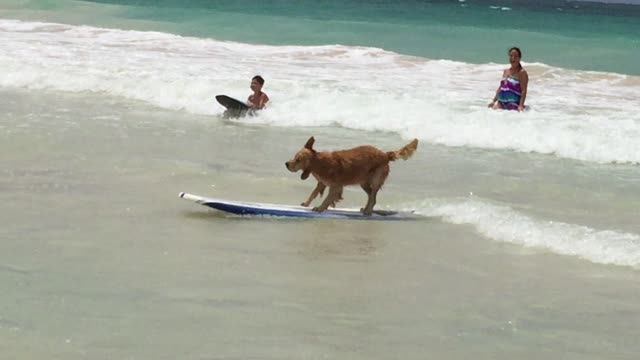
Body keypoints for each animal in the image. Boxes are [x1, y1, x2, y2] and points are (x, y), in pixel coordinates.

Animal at [286, 136, 420, 215]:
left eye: (298, 160)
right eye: (294, 157)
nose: (286, 164)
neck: (318, 163)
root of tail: (385, 154)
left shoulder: (336, 186)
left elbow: (327, 198)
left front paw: (320, 207)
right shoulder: (322, 183)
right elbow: (313, 193)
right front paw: (306, 203)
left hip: (376, 179)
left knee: (373, 197)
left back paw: (368, 211)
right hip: (363, 182)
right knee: (371, 196)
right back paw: (366, 209)